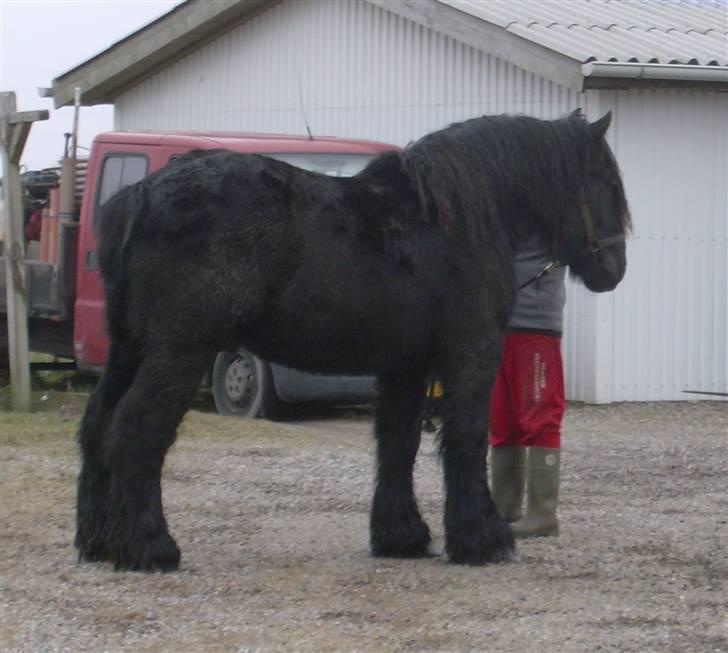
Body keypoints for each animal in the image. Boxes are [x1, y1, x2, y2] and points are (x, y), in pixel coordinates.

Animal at [75, 109, 632, 568]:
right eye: (605, 180)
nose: (614, 270)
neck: (456, 221)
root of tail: (141, 196)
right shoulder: (469, 356)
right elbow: (466, 441)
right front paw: (483, 540)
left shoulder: (406, 365)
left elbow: (398, 443)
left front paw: (401, 536)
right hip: (178, 352)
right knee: (138, 428)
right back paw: (150, 547)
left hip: (129, 349)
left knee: (99, 425)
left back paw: (101, 542)